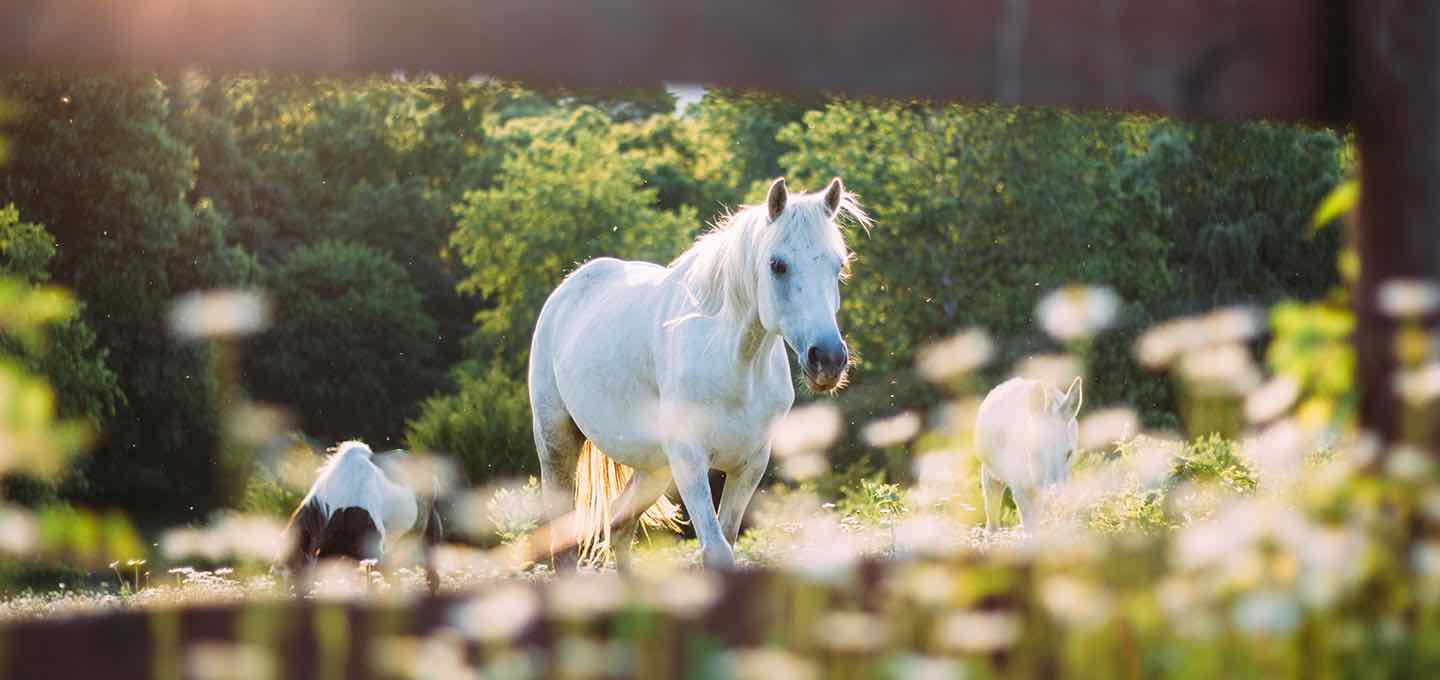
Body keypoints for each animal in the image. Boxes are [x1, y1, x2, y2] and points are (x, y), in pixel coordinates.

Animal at [529, 175, 864, 567]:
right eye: (777, 265)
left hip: (654, 468)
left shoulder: (749, 465)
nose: (828, 359)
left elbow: (727, 539)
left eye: (837, 266)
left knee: (620, 525)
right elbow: (716, 550)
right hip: (556, 441)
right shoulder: (690, 461)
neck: (734, 367)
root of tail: (569, 287)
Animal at [979, 374, 1082, 527]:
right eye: (1034, 452)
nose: (1054, 495)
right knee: (992, 515)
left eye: (1069, 453)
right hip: (991, 474)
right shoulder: (1020, 491)